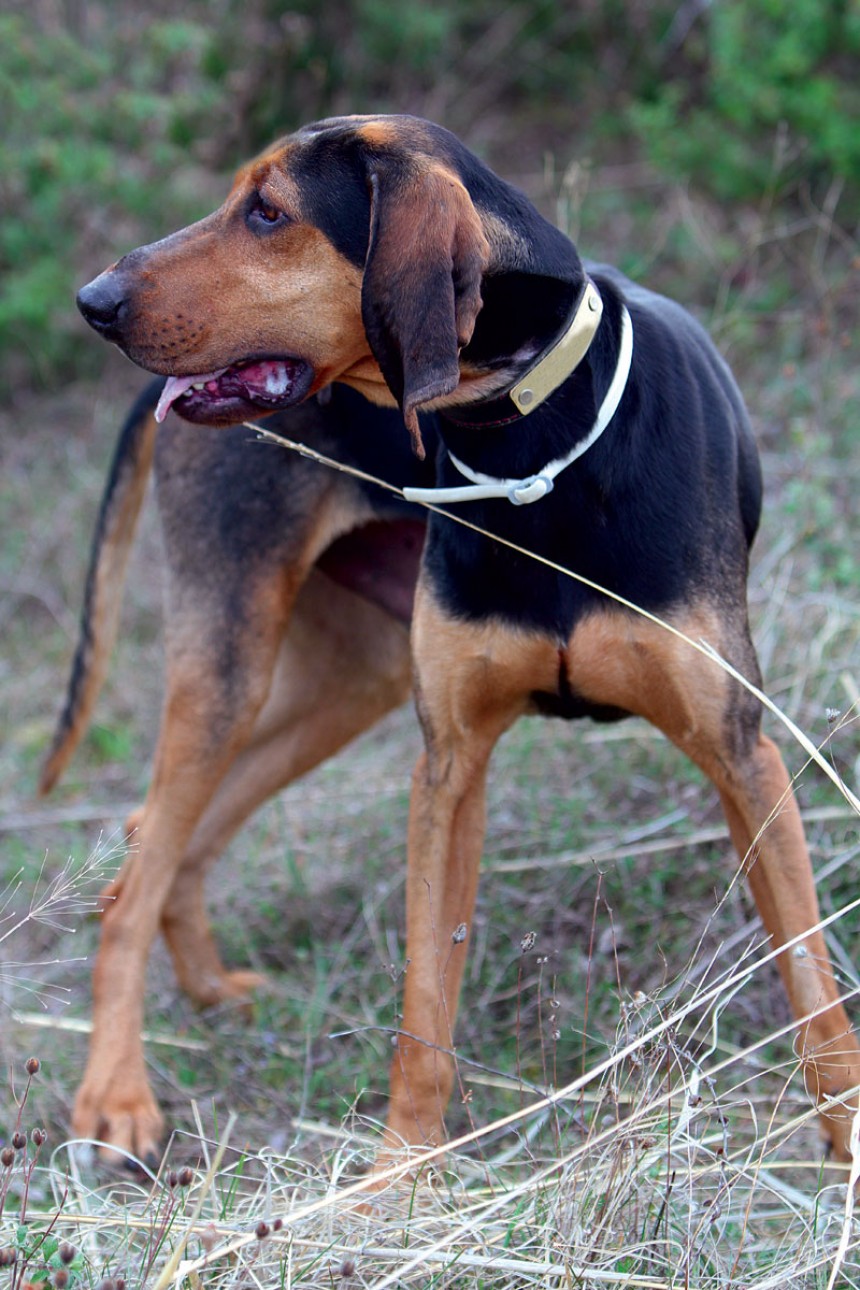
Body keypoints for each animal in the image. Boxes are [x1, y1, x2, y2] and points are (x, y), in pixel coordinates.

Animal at [75, 116, 860, 1171]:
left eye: (269, 212)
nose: (94, 301)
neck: (531, 445)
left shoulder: (744, 756)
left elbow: (814, 992)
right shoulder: (448, 769)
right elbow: (423, 1019)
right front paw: (394, 1180)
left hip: (342, 681)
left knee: (157, 841)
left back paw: (205, 991)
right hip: (232, 663)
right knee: (135, 875)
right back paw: (117, 1096)